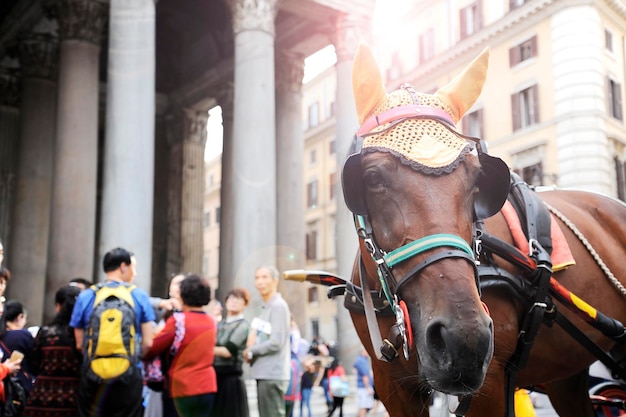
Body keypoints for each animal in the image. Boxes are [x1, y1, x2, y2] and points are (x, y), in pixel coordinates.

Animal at [342, 44, 624, 414]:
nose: (464, 340)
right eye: (372, 177)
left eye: (478, 179)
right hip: (567, 372)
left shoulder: (490, 385)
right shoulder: (392, 386)